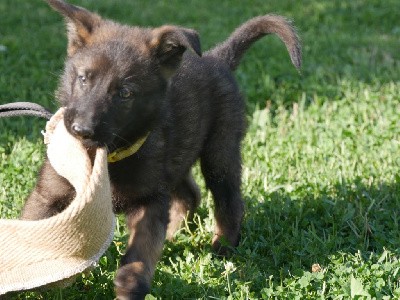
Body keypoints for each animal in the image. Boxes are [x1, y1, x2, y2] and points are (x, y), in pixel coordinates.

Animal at [21, 0, 302, 298]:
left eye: (125, 93)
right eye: (84, 79)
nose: (81, 130)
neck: (110, 157)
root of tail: (216, 58)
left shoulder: (151, 200)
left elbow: (141, 250)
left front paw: (130, 284)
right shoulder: (48, 194)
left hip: (219, 152)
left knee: (228, 201)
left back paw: (223, 247)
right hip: (176, 158)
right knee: (190, 194)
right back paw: (173, 236)